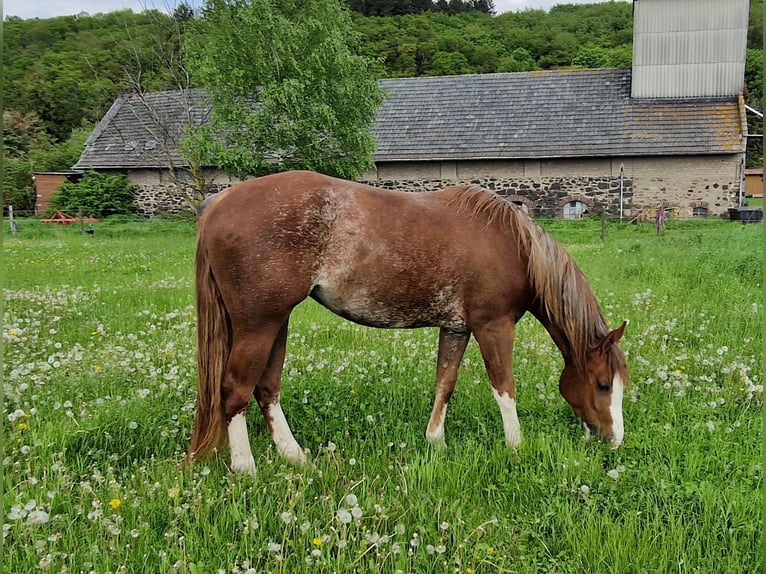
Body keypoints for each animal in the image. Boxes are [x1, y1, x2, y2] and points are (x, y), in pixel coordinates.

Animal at [189, 170, 629, 475]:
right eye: (603, 385)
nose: (614, 441)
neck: (514, 246)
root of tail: (220, 202)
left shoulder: (457, 327)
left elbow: (445, 384)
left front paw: (436, 442)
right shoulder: (494, 326)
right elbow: (504, 388)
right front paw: (516, 446)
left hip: (276, 323)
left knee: (267, 388)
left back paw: (294, 456)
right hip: (258, 325)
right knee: (234, 390)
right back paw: (246, 468)